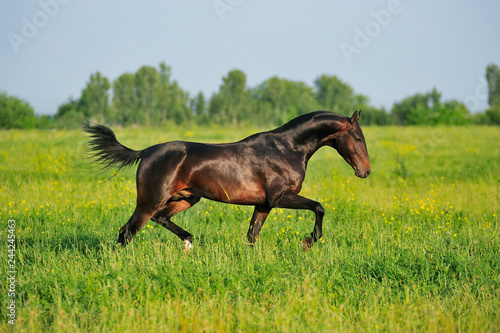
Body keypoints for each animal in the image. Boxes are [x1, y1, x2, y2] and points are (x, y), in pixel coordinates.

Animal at [83, 110, 372, 250]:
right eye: (358, 138)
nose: (365, 171)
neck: (287, 148)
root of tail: (145, 152)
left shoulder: (264, 204)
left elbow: (252, 235)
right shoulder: (280, 197)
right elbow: (319, 207)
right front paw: (308, 241)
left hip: (187, 198)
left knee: (160, 219)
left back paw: (189, 242)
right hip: (149, 201)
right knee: (127, 231)